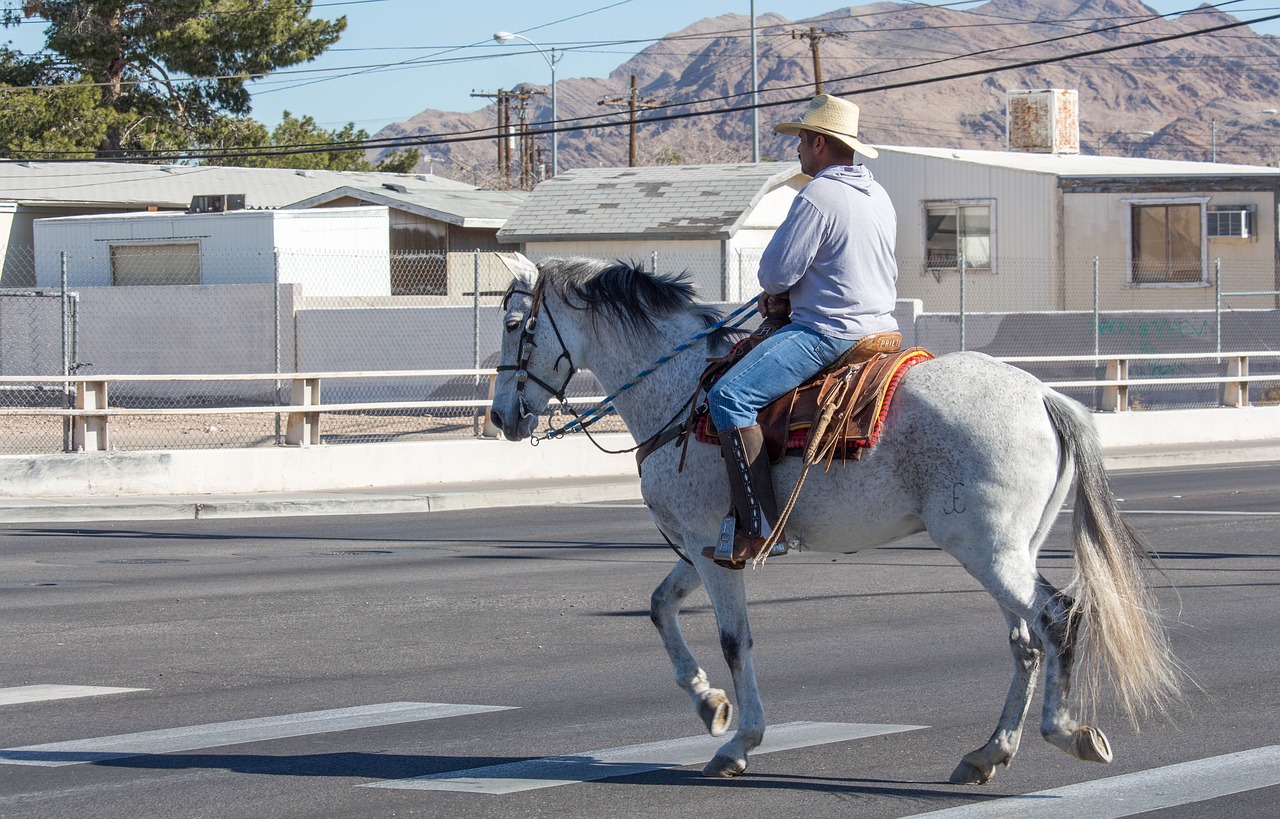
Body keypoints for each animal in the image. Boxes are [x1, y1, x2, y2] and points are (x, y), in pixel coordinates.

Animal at [488, 258, 1177, 783]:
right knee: (1026, 640)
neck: (683, 391)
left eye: (517, 324)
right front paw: (710, 704)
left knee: (1057, 619)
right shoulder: (705, 548)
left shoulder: (713, 551)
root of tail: (1043, 395)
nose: (500, 417)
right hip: (1011, 552)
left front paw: (738, 741)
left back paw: (1065, 733)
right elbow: (659, 606)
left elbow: (735, 640)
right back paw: (987, 754)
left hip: (989, 551)